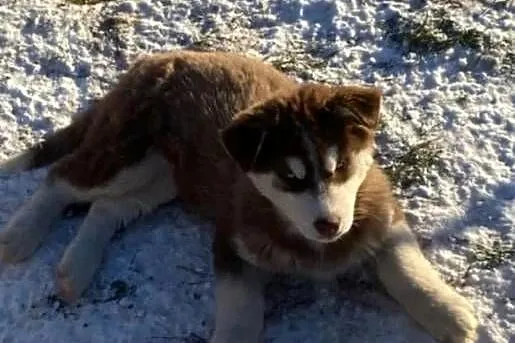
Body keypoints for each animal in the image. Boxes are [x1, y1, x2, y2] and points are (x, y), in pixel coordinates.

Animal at [0, 50, 478, 343]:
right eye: (289, 177)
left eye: (340, 165)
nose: (329, 225)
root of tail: (155, 58)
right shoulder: (233, 238)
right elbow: (242, 312)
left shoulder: (379, 208)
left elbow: (405, 264)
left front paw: (447, 312)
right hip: (128, 151)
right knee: (62, 178)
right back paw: (19, 236)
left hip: (169, 176)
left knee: (109, 206)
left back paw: (73, 271)